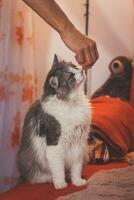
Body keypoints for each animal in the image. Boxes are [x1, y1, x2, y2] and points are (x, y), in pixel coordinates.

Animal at [17, 54, 91, 189]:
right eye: (70, 75)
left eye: (75, 67)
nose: (82, 71)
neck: (72, 102)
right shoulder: (55, 144)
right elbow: (58, 169)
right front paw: (60, 184)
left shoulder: (78, 145)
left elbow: (76, 169)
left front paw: (77, 182)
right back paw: (49, 179)